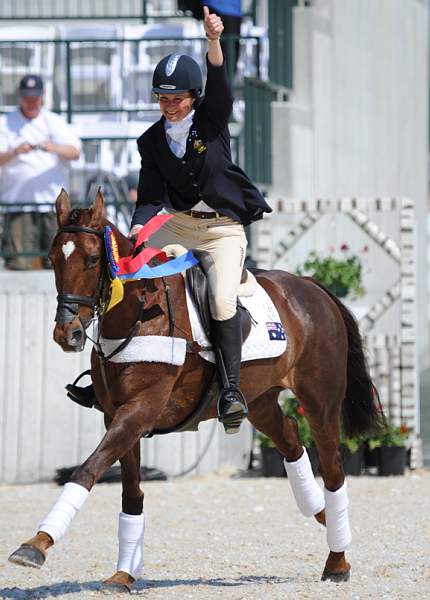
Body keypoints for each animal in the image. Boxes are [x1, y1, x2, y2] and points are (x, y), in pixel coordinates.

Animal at [9, 192, 380, 592]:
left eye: (93, 259)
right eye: (52, 259)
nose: (67, 334)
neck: (139, 313)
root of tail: (312, 287)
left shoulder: (139, 410)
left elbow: (87, 470)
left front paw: (35, 546)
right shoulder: (118, 416)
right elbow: (131, 493)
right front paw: (123, 574)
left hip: (320, 402)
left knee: (333, 468)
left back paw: (337, 559)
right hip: (260, 402)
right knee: (292, 441)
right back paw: (322, 514)